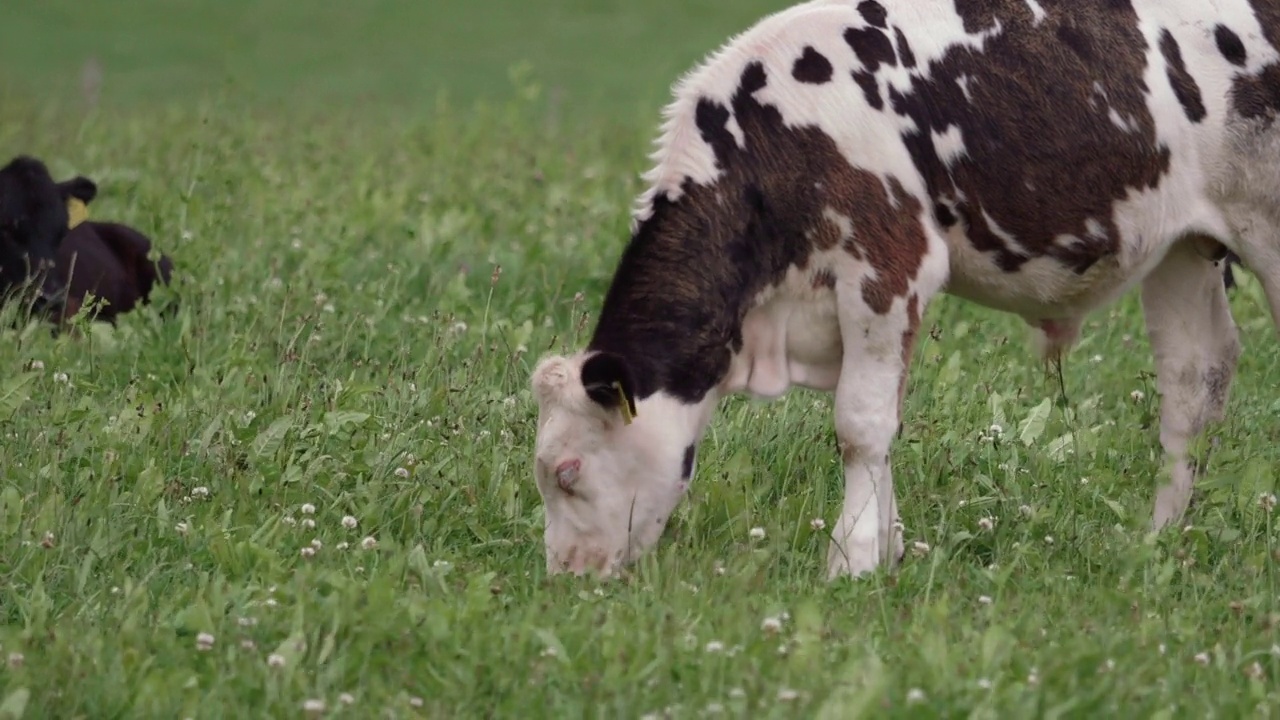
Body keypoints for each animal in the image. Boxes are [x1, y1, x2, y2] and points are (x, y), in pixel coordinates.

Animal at [527, 0, 1280, 579]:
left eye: (567, 469)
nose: (567, 576)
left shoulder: (888, 261)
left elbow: (859, 424)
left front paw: (851, 561)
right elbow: (878, 419)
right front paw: (886, 549)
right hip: (1183, 247)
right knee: (1195, 382)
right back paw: (1161, 543)